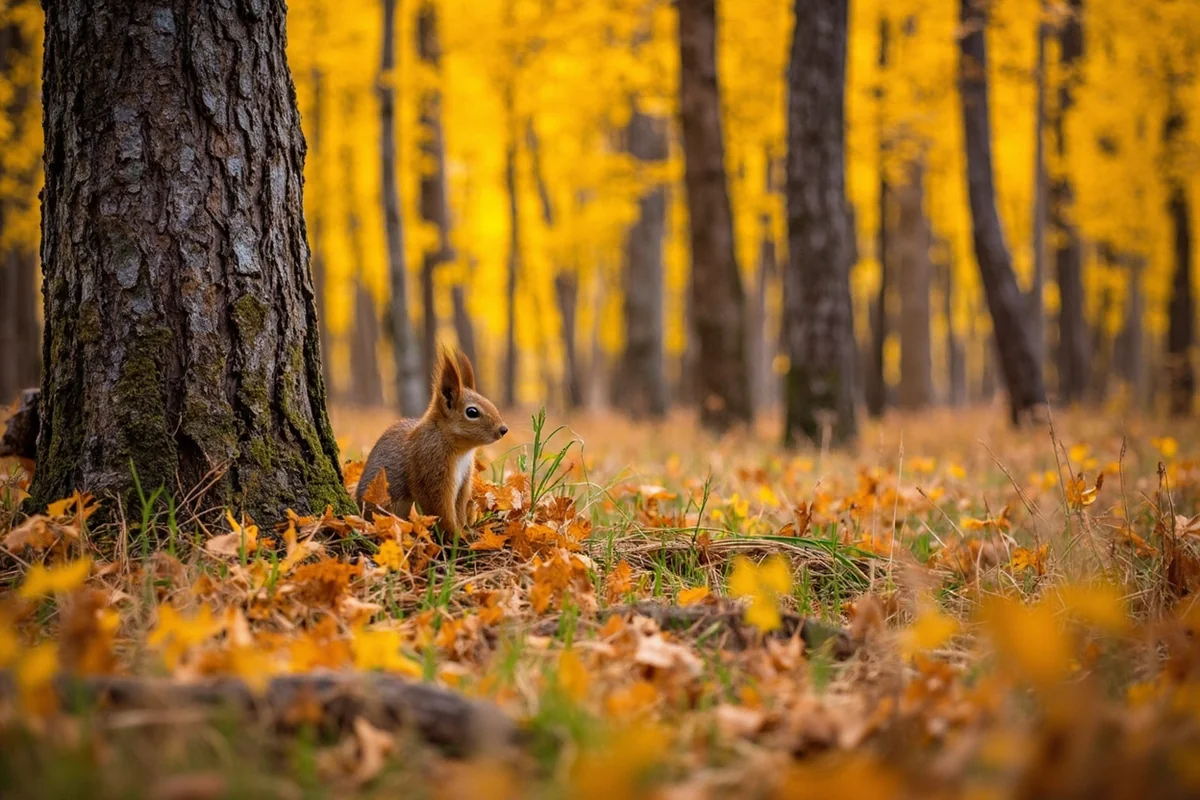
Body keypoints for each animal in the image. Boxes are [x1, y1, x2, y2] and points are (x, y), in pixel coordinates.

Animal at [356, 346, 508, 537]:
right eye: (472, 412)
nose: (503, 429)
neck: (460, 451)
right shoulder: (430, 467)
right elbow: (440, 508)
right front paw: (457, 536)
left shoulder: (464, 480)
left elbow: (459, 507)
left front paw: (467, 530)